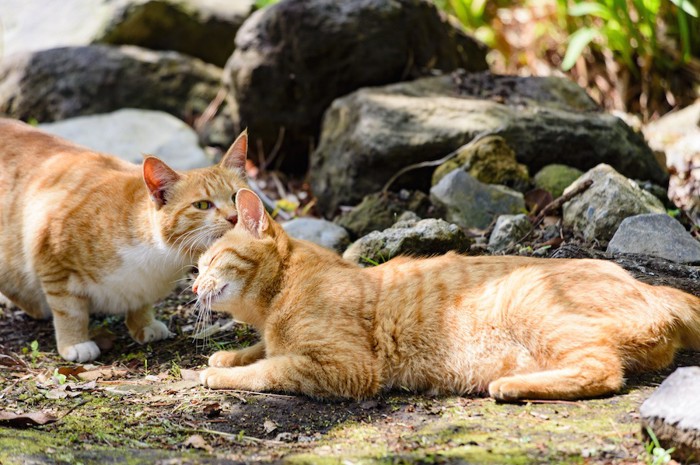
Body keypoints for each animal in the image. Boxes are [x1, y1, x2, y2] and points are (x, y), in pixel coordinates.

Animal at [0, 118, 250, 362]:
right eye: (202, 205)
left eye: (235, 196)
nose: (234, 216)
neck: (162, 257)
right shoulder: (53, 259)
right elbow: (69, 310)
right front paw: (75, 342)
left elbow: (141, 302)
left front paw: (143, 324)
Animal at [193, 188, 700, 398]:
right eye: (195, 267)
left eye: (212, 261)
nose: (196, 285)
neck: (279, 294)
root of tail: (650, 285)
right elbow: (262, 350)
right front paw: (228, 355)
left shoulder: (344, 367)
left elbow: (270, 369)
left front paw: (219, 373)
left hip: (533, 304)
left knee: (603, 370)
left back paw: (509, 386)